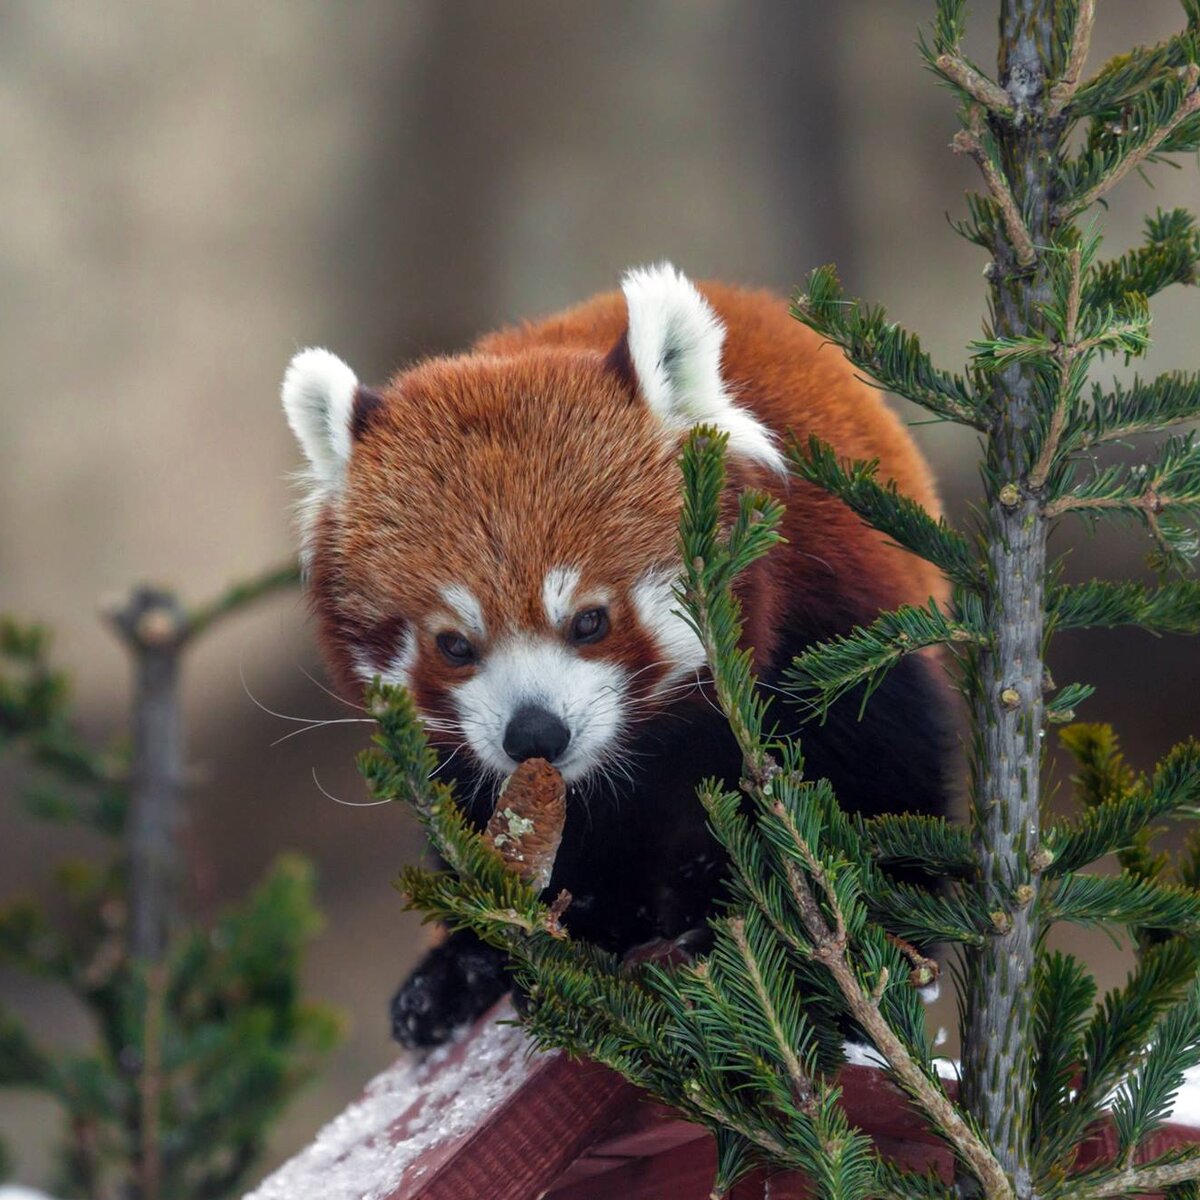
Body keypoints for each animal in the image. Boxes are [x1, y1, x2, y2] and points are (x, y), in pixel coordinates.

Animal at [278, 260, 945, 1041]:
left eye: (589, 622)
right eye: (454, 643)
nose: (535, 734)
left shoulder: (832, 638)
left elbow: (879, 790)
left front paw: (838, 954)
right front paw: (495, 959)